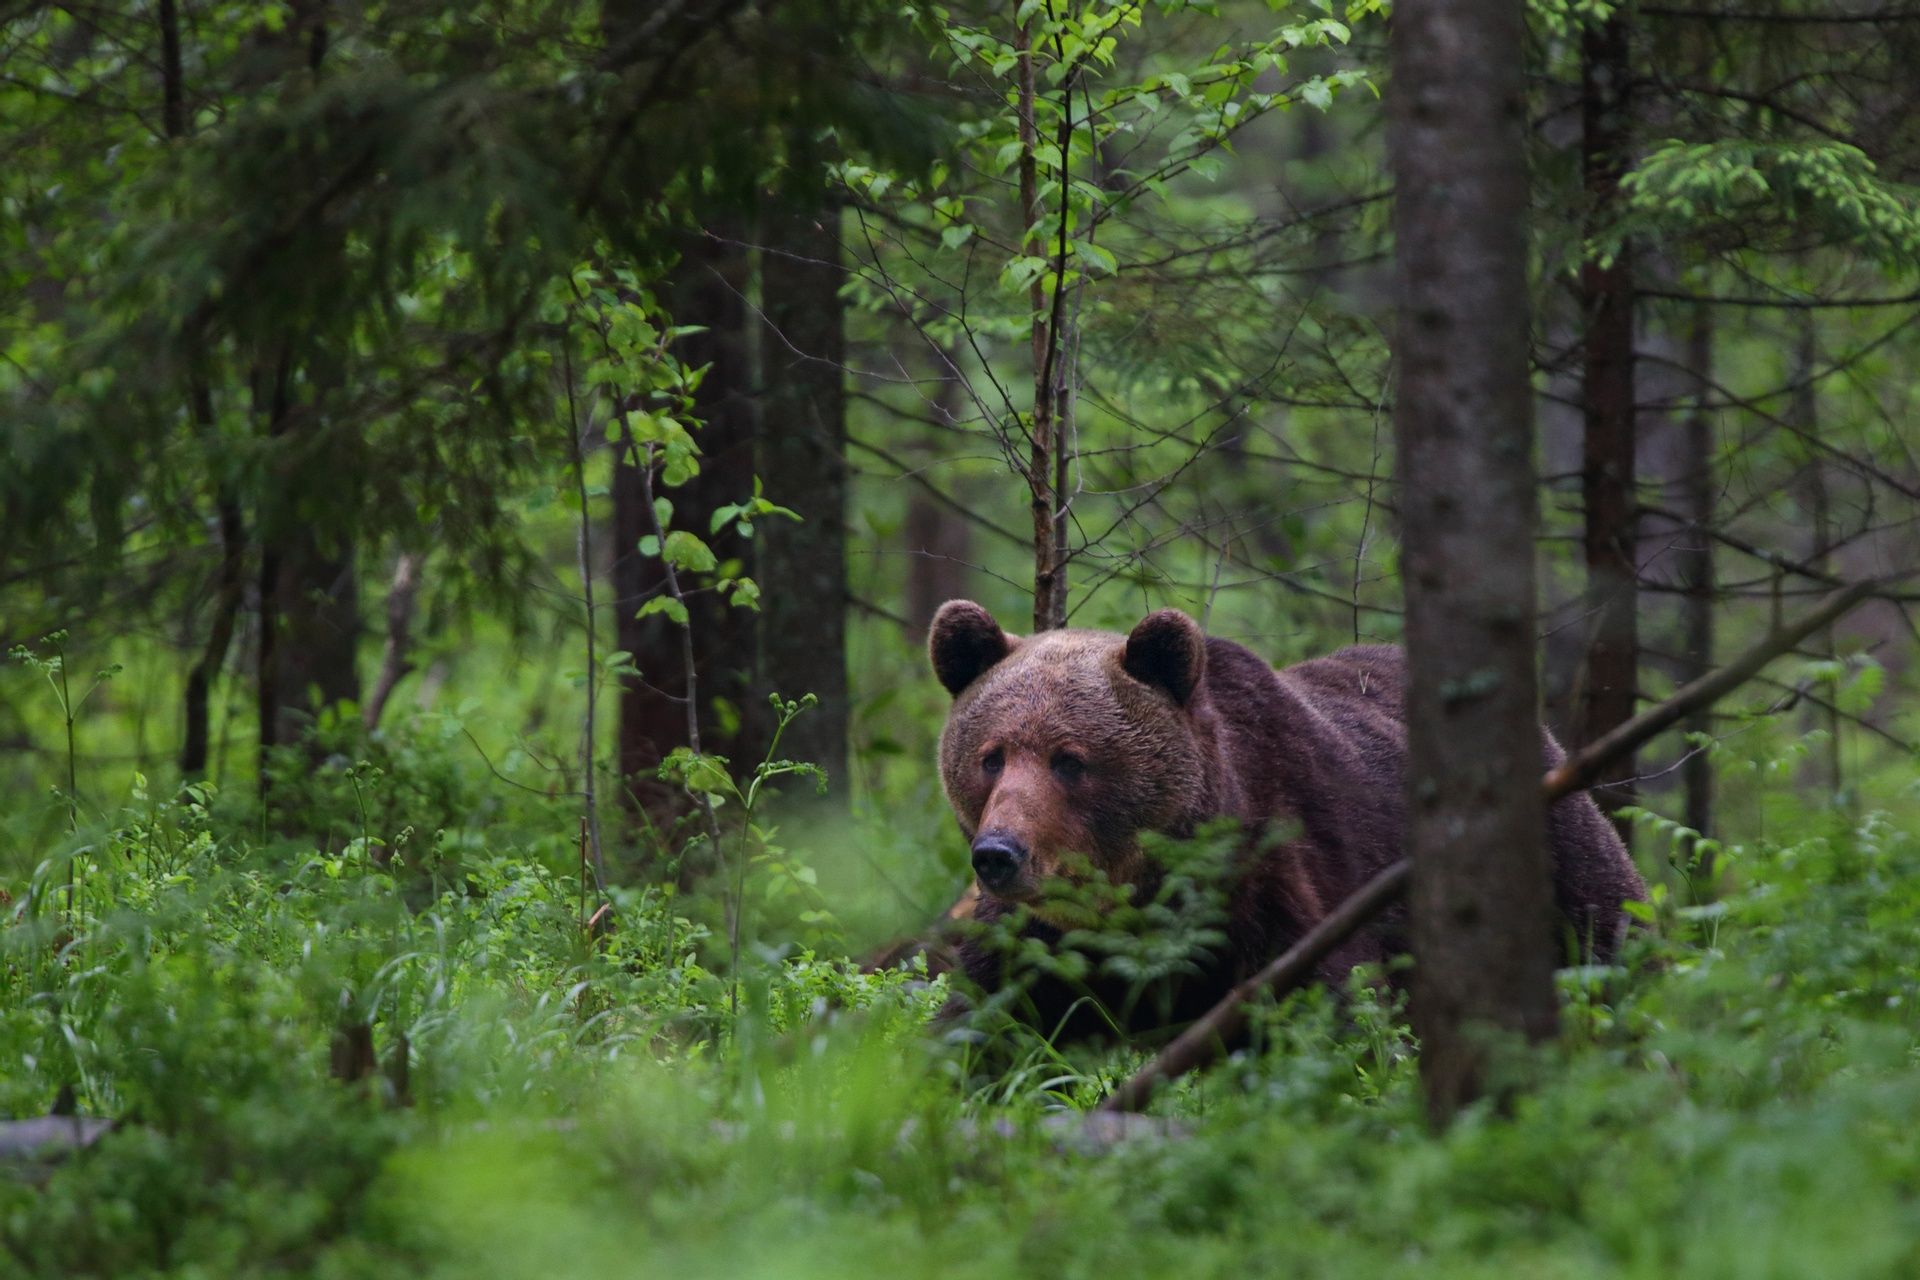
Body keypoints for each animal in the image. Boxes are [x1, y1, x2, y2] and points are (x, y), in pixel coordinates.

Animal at [929, 602, 1651, 1043]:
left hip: (1560, 850)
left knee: (1611, 936)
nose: (999, 853)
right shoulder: (1033, 941)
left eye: (1069, 759)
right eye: (991, 756)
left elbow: (1326, 1010)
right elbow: (978, 1024)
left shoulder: (1276, 882)